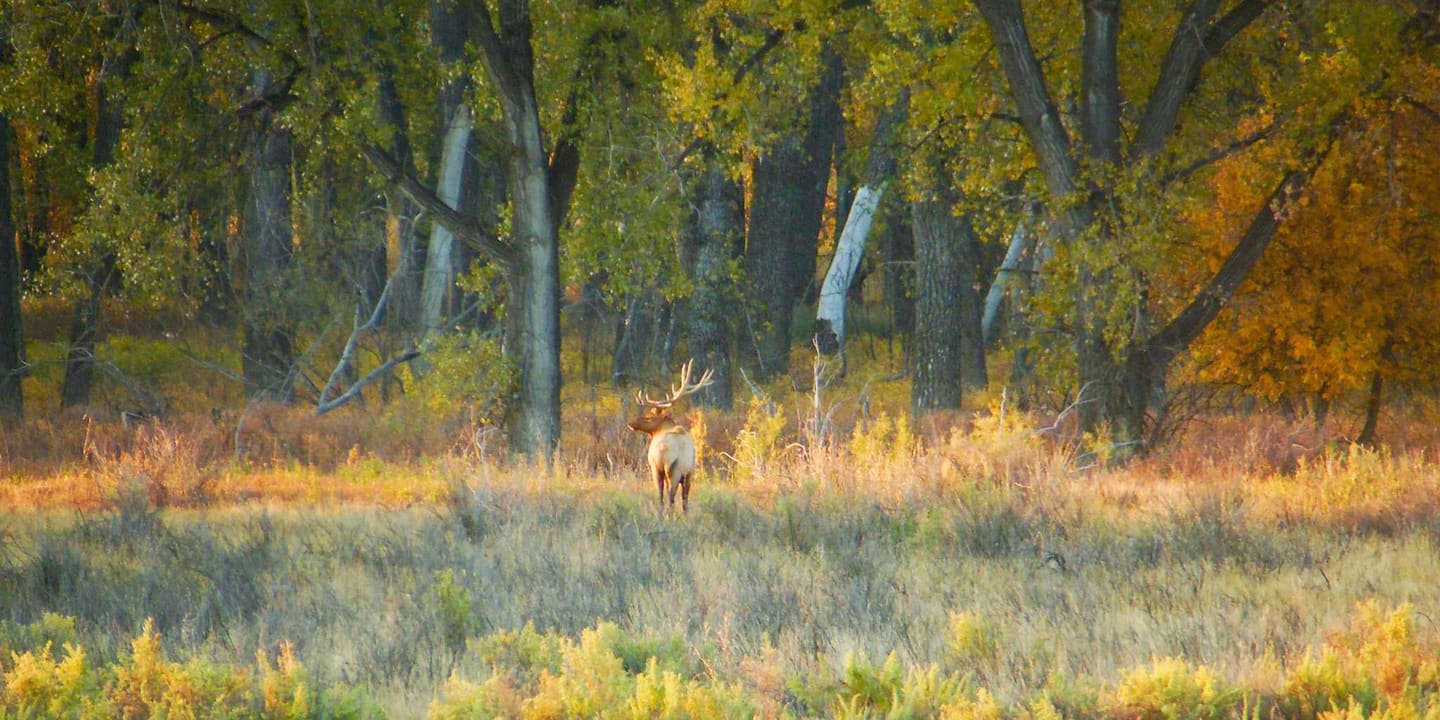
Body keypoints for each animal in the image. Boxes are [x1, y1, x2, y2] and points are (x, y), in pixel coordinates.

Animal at [627, 359, 715, 514]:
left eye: (649, 417)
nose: (630, 423)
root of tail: (663, 449)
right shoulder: (689, 473)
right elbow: (685, 500)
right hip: (675, 470)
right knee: (671, 497)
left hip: (656, 468)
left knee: (662, 497)